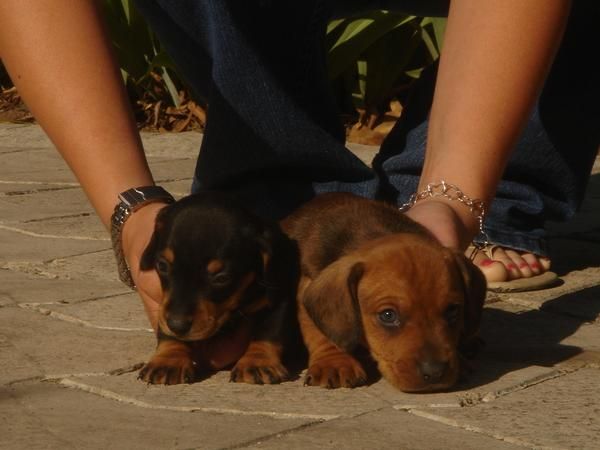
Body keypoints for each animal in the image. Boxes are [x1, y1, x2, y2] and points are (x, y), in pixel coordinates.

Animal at [137, 192, 298, 384]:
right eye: (162, 266)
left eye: (222, 278)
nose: (177, 325)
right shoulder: (164, 305)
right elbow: (165, 325)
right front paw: (168, 360)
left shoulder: (279, 294)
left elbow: (270, 329)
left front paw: (258, 362)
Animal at [282, 193, 488, 394]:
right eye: (388, 315)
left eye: (452, 310)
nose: (435, 373)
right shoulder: (306, 282)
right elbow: (319, 330)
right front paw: (334, 362)